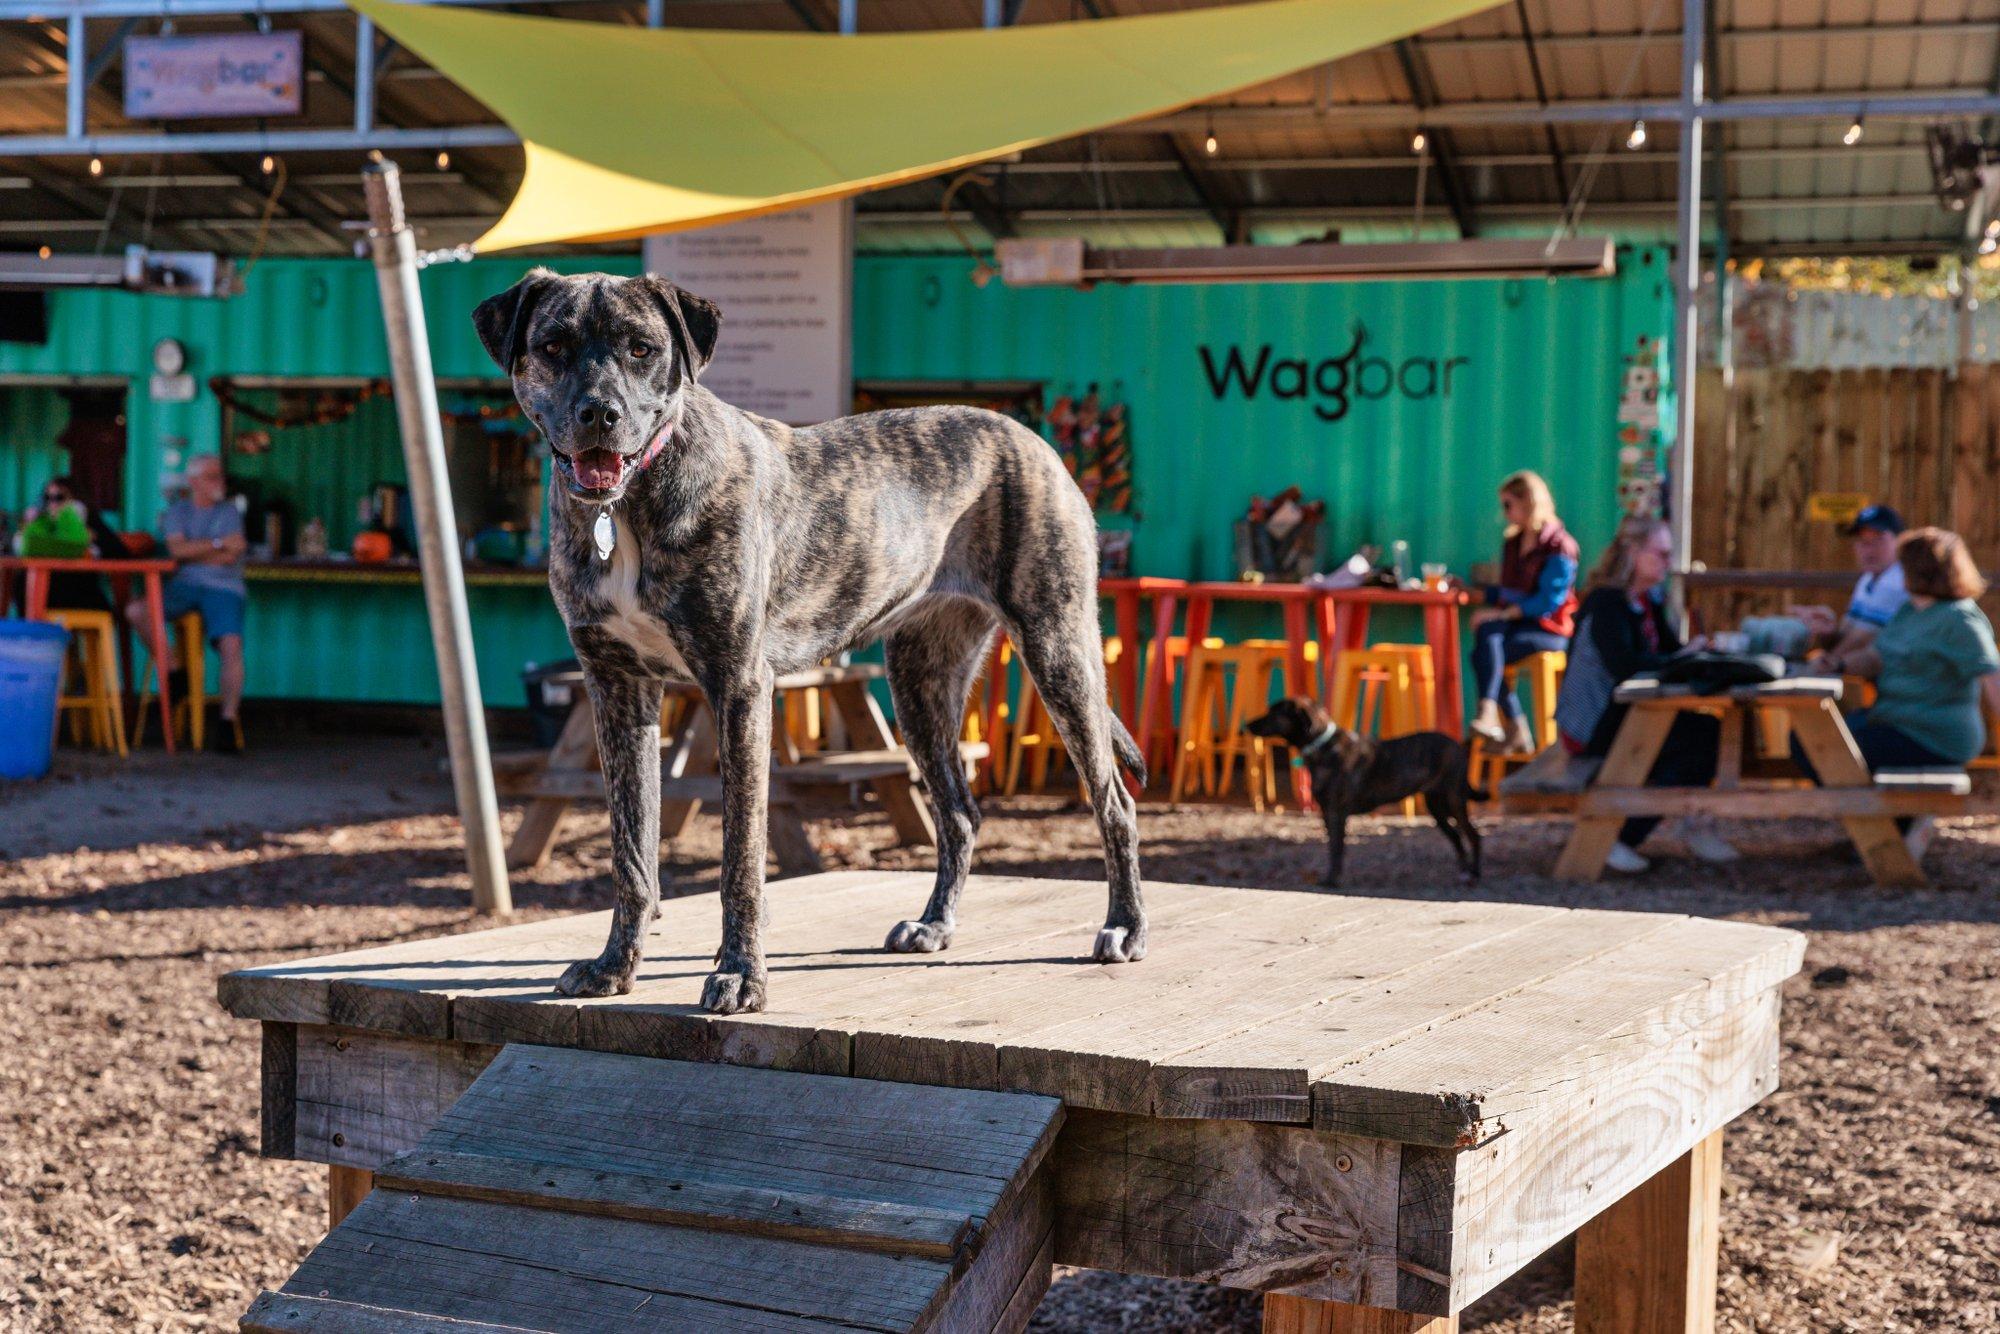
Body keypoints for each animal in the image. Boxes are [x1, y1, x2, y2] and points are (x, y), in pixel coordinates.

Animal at [470, 276, 1152, 1016]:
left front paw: (742, 975)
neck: (625, 506)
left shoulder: (739, 687)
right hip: (921, 685)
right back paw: (935, 924)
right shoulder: (618, 691)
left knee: (1113, 802)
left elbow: (741, 855)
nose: (601, 414)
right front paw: (614, 968)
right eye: (553, 346)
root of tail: (1028, 436)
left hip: (1059, 650)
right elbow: (632, 850)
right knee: (959, 813)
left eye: (641, 347)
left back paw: (1125, 927)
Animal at [1248, 696, 1488, 892]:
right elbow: (1333, 847)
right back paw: (1463, 873)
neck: (1323, 746)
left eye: (1273, 713)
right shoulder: (1326, 813)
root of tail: (1458, 745)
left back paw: (1475, 874)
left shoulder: (1336, 812)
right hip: (1436, 806)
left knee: (1473, 835)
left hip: (1454, 800)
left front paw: (1333, 880)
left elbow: (1336, 848)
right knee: (1456, 837)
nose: (1246, 725)